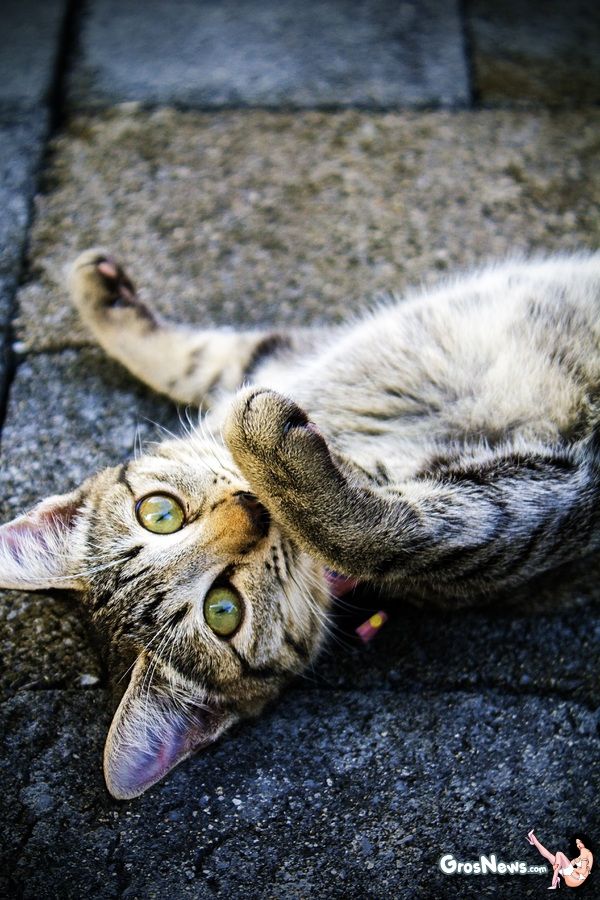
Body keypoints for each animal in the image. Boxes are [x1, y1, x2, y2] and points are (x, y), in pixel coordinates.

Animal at [0, 249, 598, 799]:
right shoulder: (535, 516)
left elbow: (197, 361)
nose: (253, 511)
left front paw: (100, 295)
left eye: (160, 513)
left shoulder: (273, 361)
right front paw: (274, 456)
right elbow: (384, 537)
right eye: (223, 611)